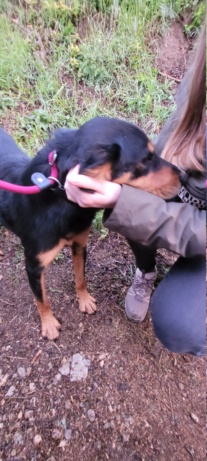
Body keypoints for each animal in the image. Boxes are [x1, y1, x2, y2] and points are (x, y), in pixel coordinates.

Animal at [0, 115, 184, 338]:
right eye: (145, 160)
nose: (184, 176)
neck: (59, 198)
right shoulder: (33, 265)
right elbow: (41, 298)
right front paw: (49, 323)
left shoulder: (80, 245)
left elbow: (81, 278)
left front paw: (84, 300)